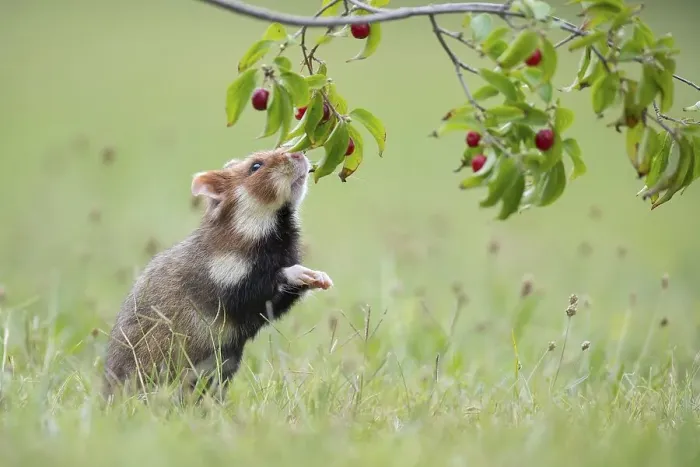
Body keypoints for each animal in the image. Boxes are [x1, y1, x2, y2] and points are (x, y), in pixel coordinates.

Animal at [103, 149, 333, 399]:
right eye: (255, 166)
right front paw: (300, 273)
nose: (299, 153)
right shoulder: (230, 283)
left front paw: (321, 277)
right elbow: (268, 283)